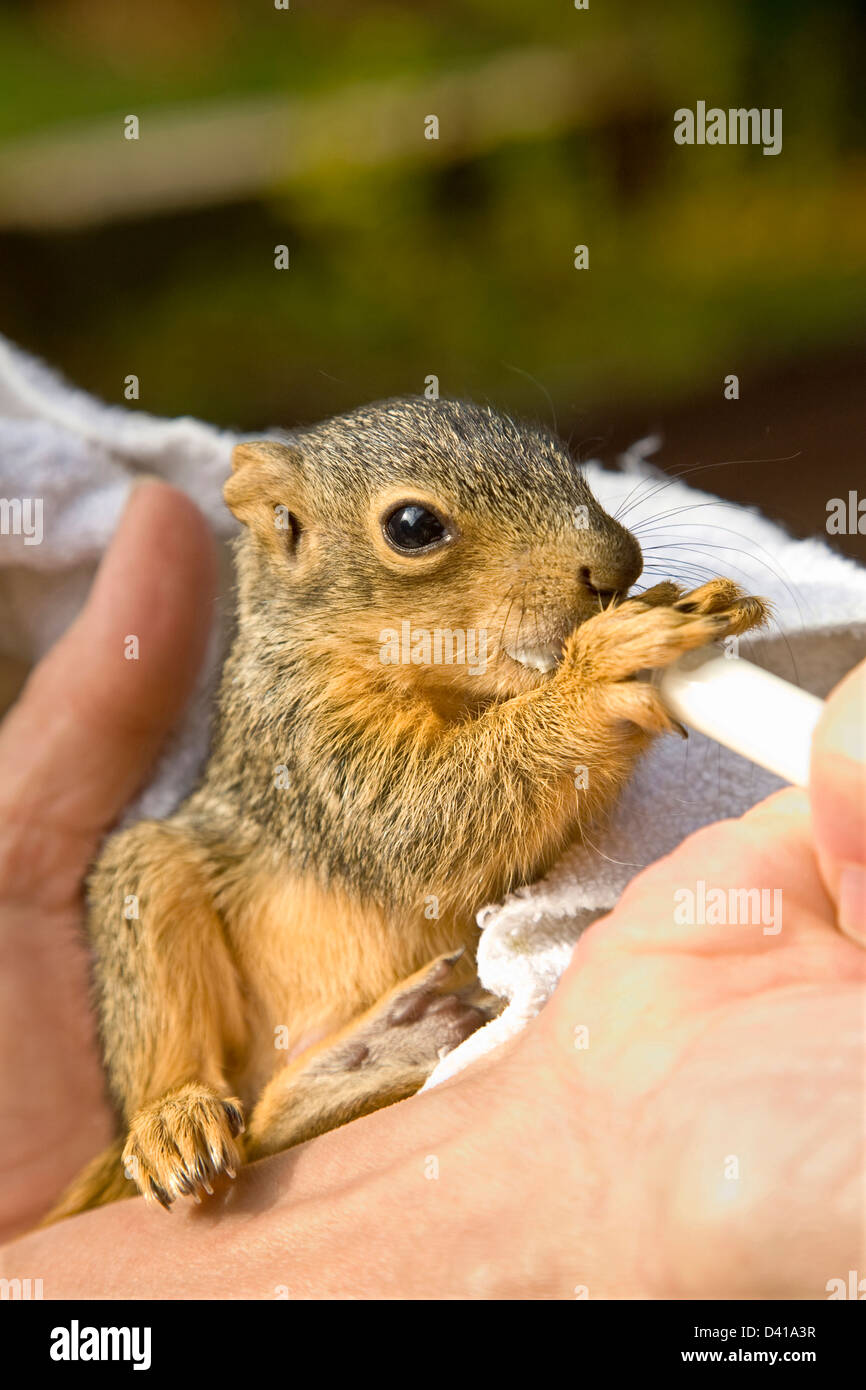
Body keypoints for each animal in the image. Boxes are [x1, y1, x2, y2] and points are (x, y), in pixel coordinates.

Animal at [48, 394, 767, 1217]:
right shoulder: (305, 742)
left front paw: (700, 601)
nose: (620, 567)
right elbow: (418, 822)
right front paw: (600, 670)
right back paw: (186, 1113)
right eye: (414, 527)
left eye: (560, 455)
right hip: (148, 880)